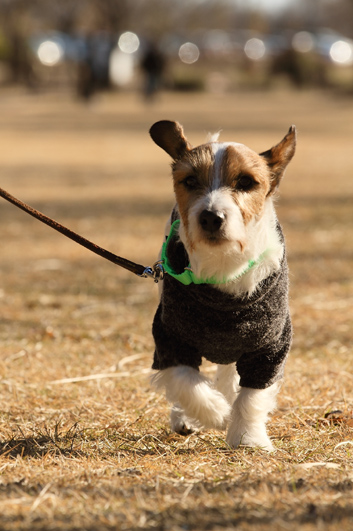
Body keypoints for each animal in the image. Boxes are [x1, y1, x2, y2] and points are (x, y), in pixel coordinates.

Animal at [148, 121, 294, 454]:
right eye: (189, 180)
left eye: (246, 181)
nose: (211, 217)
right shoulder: (169, 337)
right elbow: (186, 380)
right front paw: (217, 413)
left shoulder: (270, 347)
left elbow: (251, 396)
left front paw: (248, 438)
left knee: (229, 373)